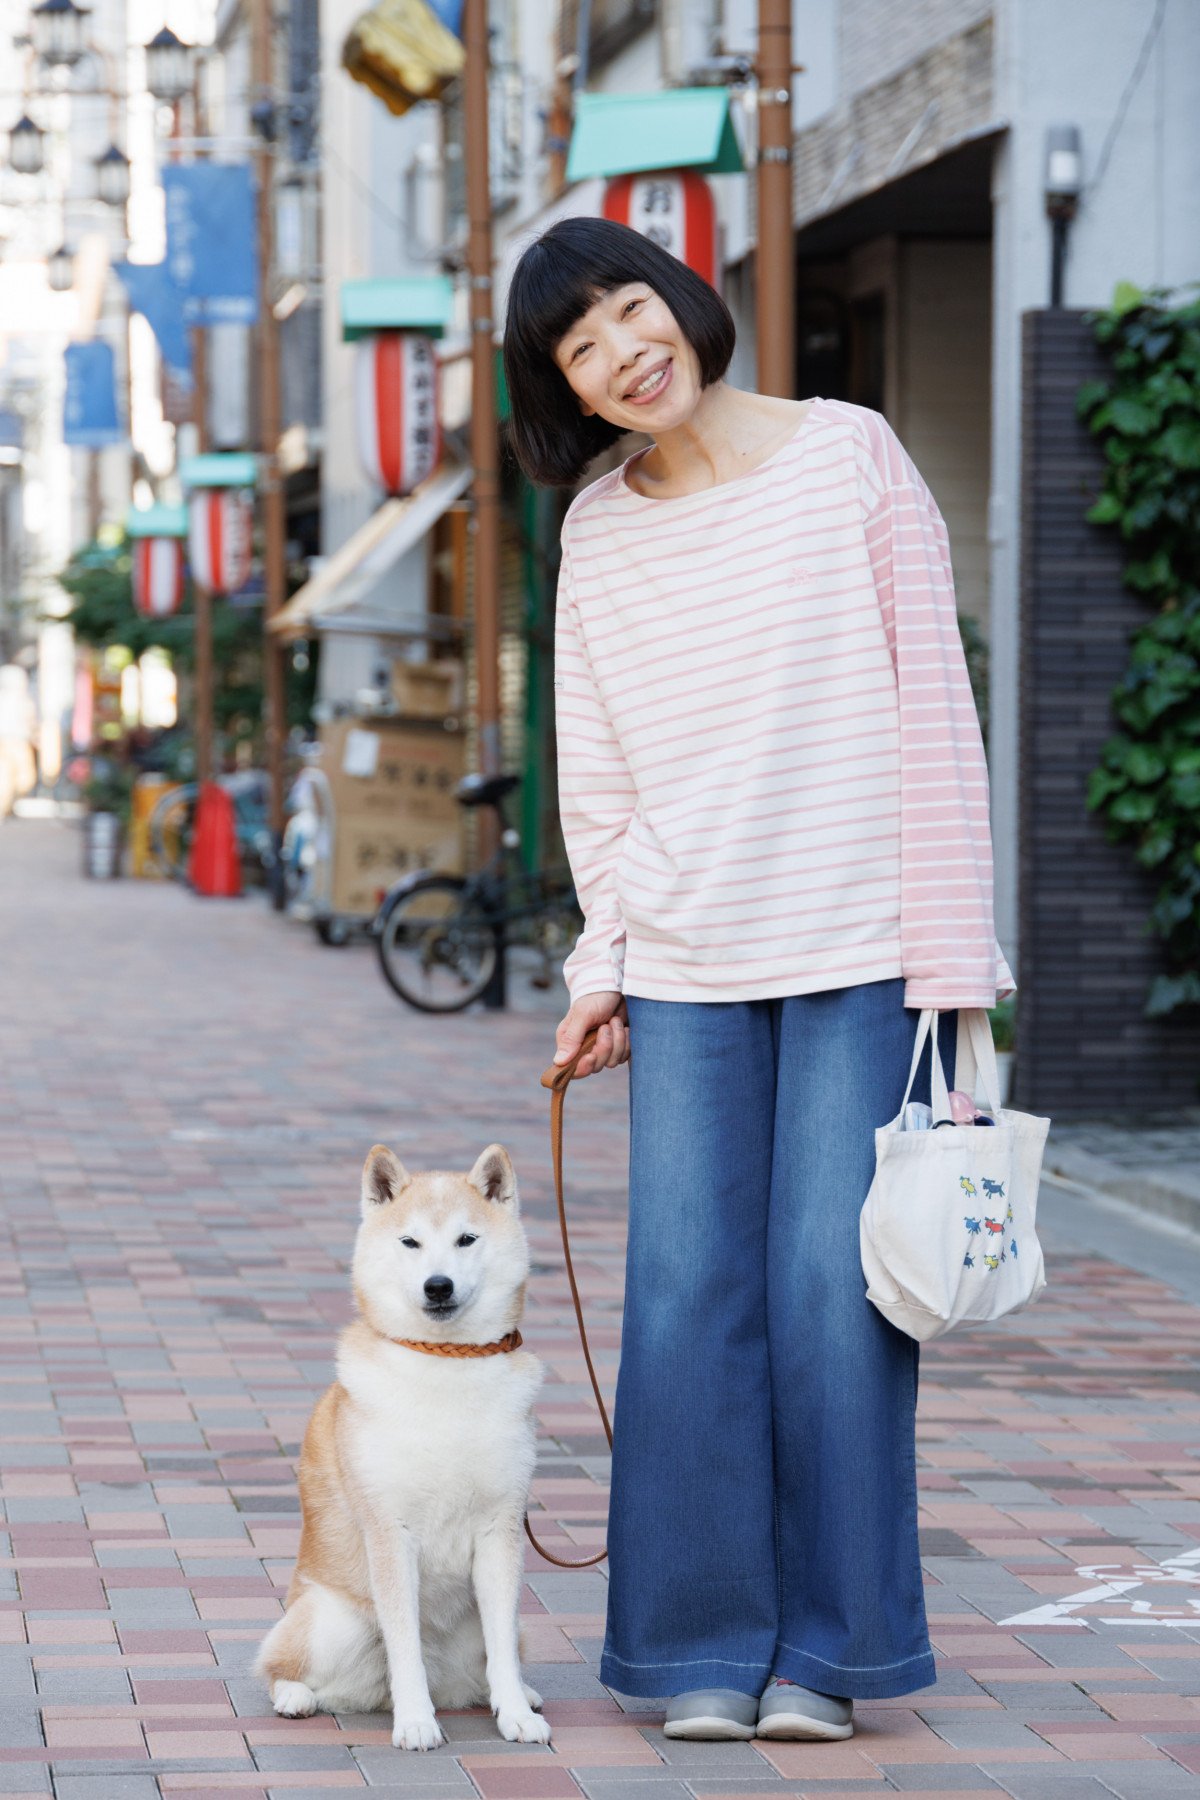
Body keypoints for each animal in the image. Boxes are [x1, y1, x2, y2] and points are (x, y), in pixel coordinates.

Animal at [259, 1144, 554, 1749]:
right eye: (410, 1242)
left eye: (466, 1239)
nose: (437, 1285)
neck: (446, 1366)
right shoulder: (390, 1533)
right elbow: (405, 1649)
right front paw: (416, 1721)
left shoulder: (501, 1531)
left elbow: (503, 1654)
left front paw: (516, 1715)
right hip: (332, 1620)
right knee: (281, 1667)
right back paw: (297, 1697)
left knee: (495, 1659)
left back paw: (517, 1695)